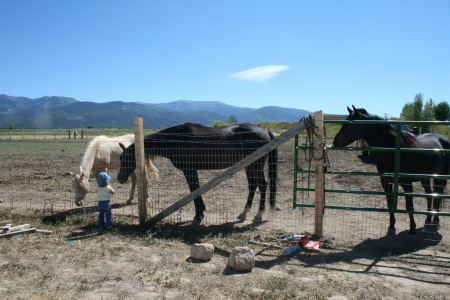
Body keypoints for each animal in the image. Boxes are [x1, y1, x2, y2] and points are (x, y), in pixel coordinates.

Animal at [117, 121, 278, 223]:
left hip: (256, 165)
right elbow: (195, 189)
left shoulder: (189, 169)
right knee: (253, 186)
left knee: (263, 185)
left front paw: (198, 215)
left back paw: (259, 215)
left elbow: (194, 189)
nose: (120, 178)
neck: (176, 139)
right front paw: (200, 213)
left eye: (126, 159)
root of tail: (265, 130)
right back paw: (244, 213)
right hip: (249, 165)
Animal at [332, 106, 448, 236]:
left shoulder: (407, 183)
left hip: (442, 176)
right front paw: (391, 227)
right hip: (425, 178)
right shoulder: (386, 181)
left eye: (351, 124)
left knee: (438, 195)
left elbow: (409, 206)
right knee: (430, 195)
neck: (394, 150)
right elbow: (390, 203)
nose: (335, 142)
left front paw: (412, 229)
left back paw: (436, 220)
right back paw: (428, 219)